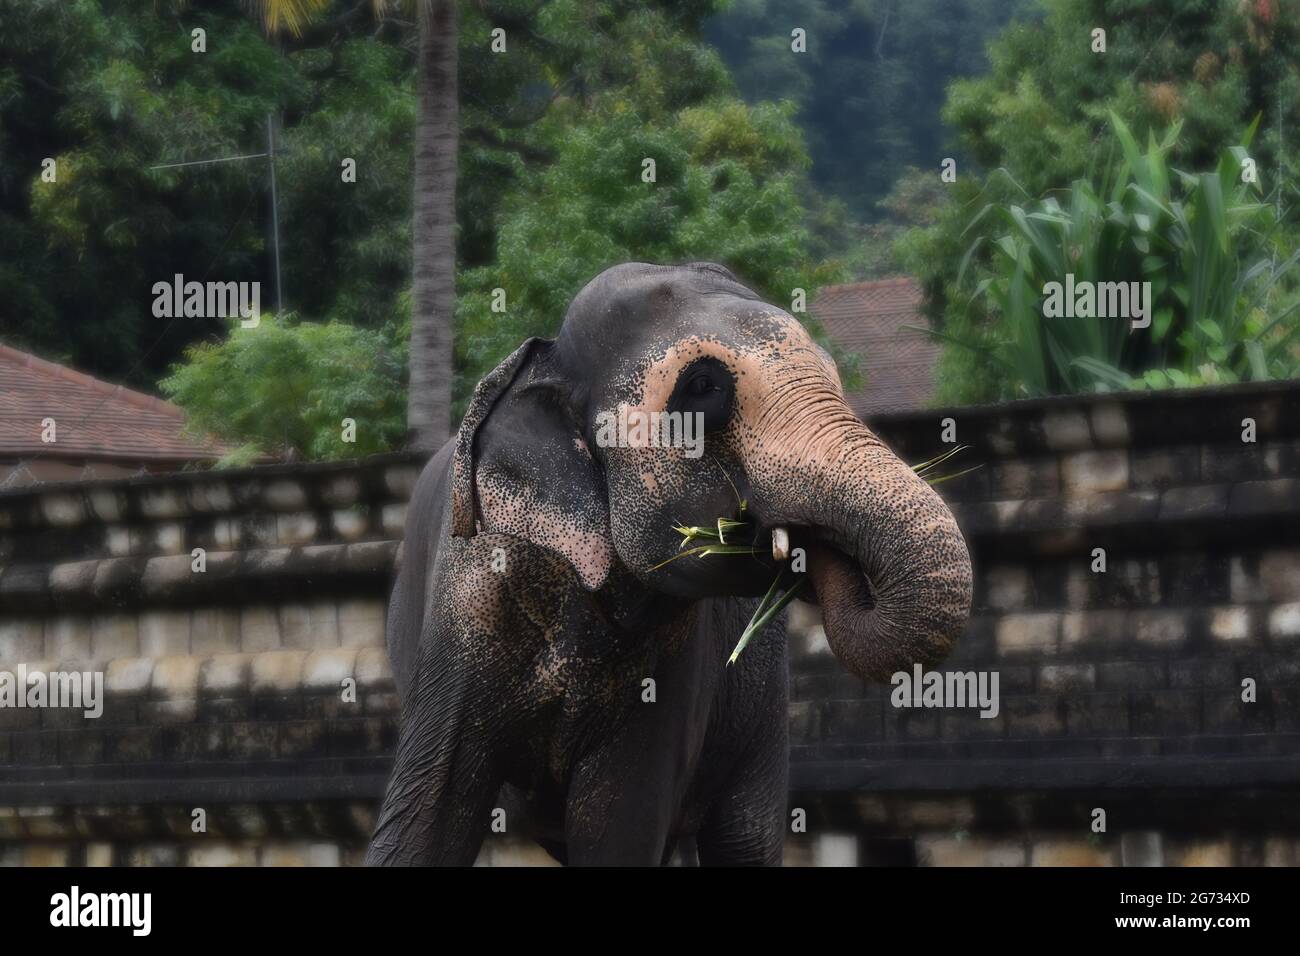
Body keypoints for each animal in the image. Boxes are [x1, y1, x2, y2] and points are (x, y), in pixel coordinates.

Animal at [361, 261, 972, 868]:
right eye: (702, 386)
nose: (812, 547)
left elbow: (621, 825)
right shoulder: (469, 602)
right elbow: (425, 815)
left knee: (744, 838)